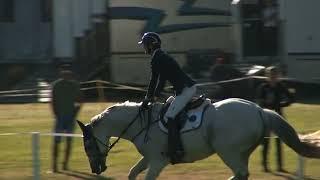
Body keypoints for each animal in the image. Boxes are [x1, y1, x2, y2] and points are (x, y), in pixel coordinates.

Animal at [77, 98, 320, 180]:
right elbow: (132, 173)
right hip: (240, 152)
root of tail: (260, 110)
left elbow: (146, 177)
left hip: (228, 151)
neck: (141, 122)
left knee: (240, 173)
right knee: (242, 174)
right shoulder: (149, 159)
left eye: (88, 144)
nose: (96, 169)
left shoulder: (158, 161)